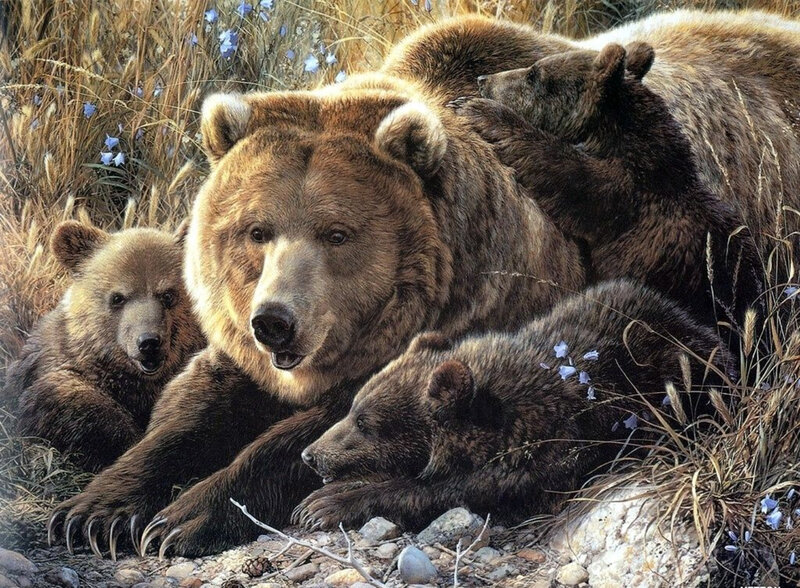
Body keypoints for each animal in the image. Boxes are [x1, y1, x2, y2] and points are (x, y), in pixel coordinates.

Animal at [46, 84, 587, 557]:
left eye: (337, 234)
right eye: (257, 230)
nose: (274, 322)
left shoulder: (446, 333)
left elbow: (324, 436)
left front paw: (181, 519)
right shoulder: (243, 359)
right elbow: (187, 413)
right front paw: (92, 514)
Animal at [295, 279, 734, 531]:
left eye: (365, 422)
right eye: (353, 408)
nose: (309, 455)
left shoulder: (545, 452)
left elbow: (455, 491)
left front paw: (327, 504)